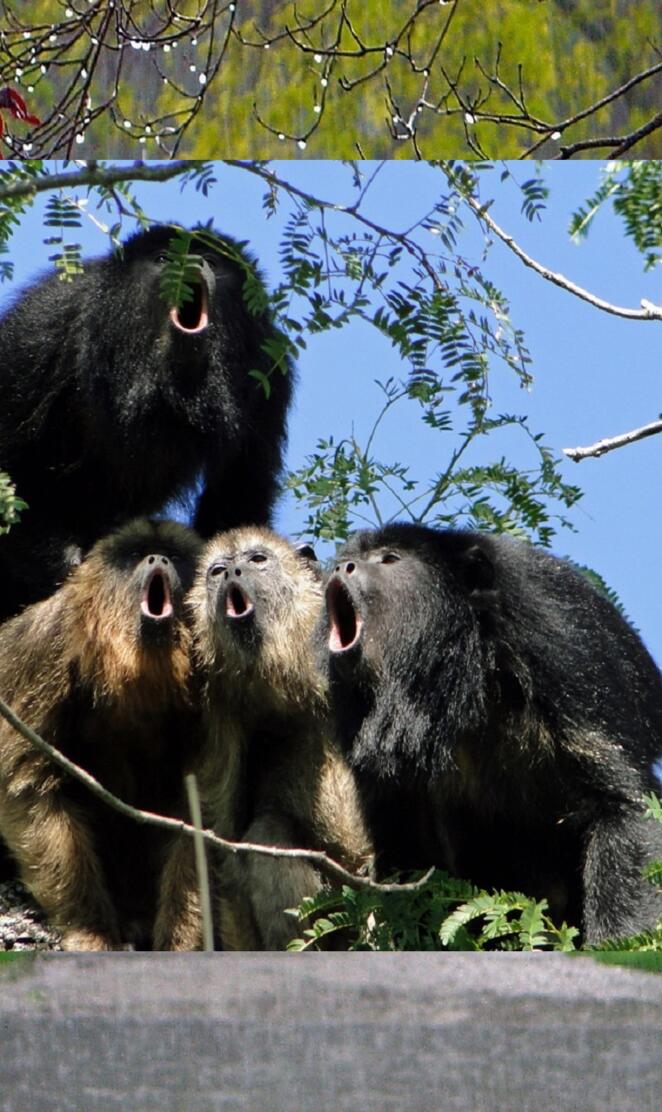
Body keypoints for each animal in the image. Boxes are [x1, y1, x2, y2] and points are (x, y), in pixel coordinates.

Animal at [0, 224, 293, 619]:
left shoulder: (267, 368)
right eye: (163, 258)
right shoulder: (43, 323)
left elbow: (240, 488)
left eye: (211, 259)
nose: (192, 261)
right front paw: (60, 563)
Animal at [0, 518, 204, 951]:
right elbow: (30, 787)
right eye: (136, 554)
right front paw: (90, 931)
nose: (158, 558)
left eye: (174, 555)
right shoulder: (49, 643)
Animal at [189, 526, 372, 951]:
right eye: (217, 571)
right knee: (270, 830)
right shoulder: (220, 707)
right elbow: (224, 841)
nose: (232, 572)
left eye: (257, 560)